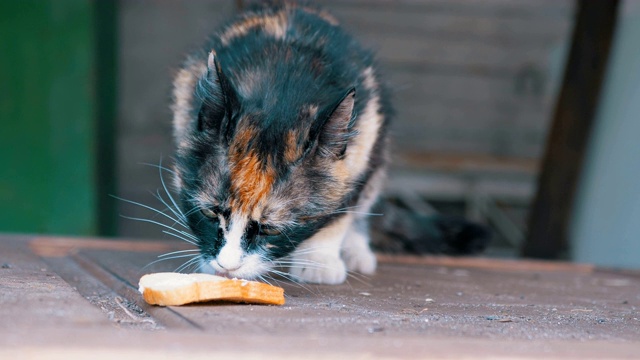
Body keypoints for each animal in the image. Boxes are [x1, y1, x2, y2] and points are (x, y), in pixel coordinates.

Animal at [170, 1, 390, 286]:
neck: (281, 93)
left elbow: (342, 206)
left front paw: (319, 263)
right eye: (209, 212)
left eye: (270, 229)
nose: (226, 267)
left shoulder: (366, 133)